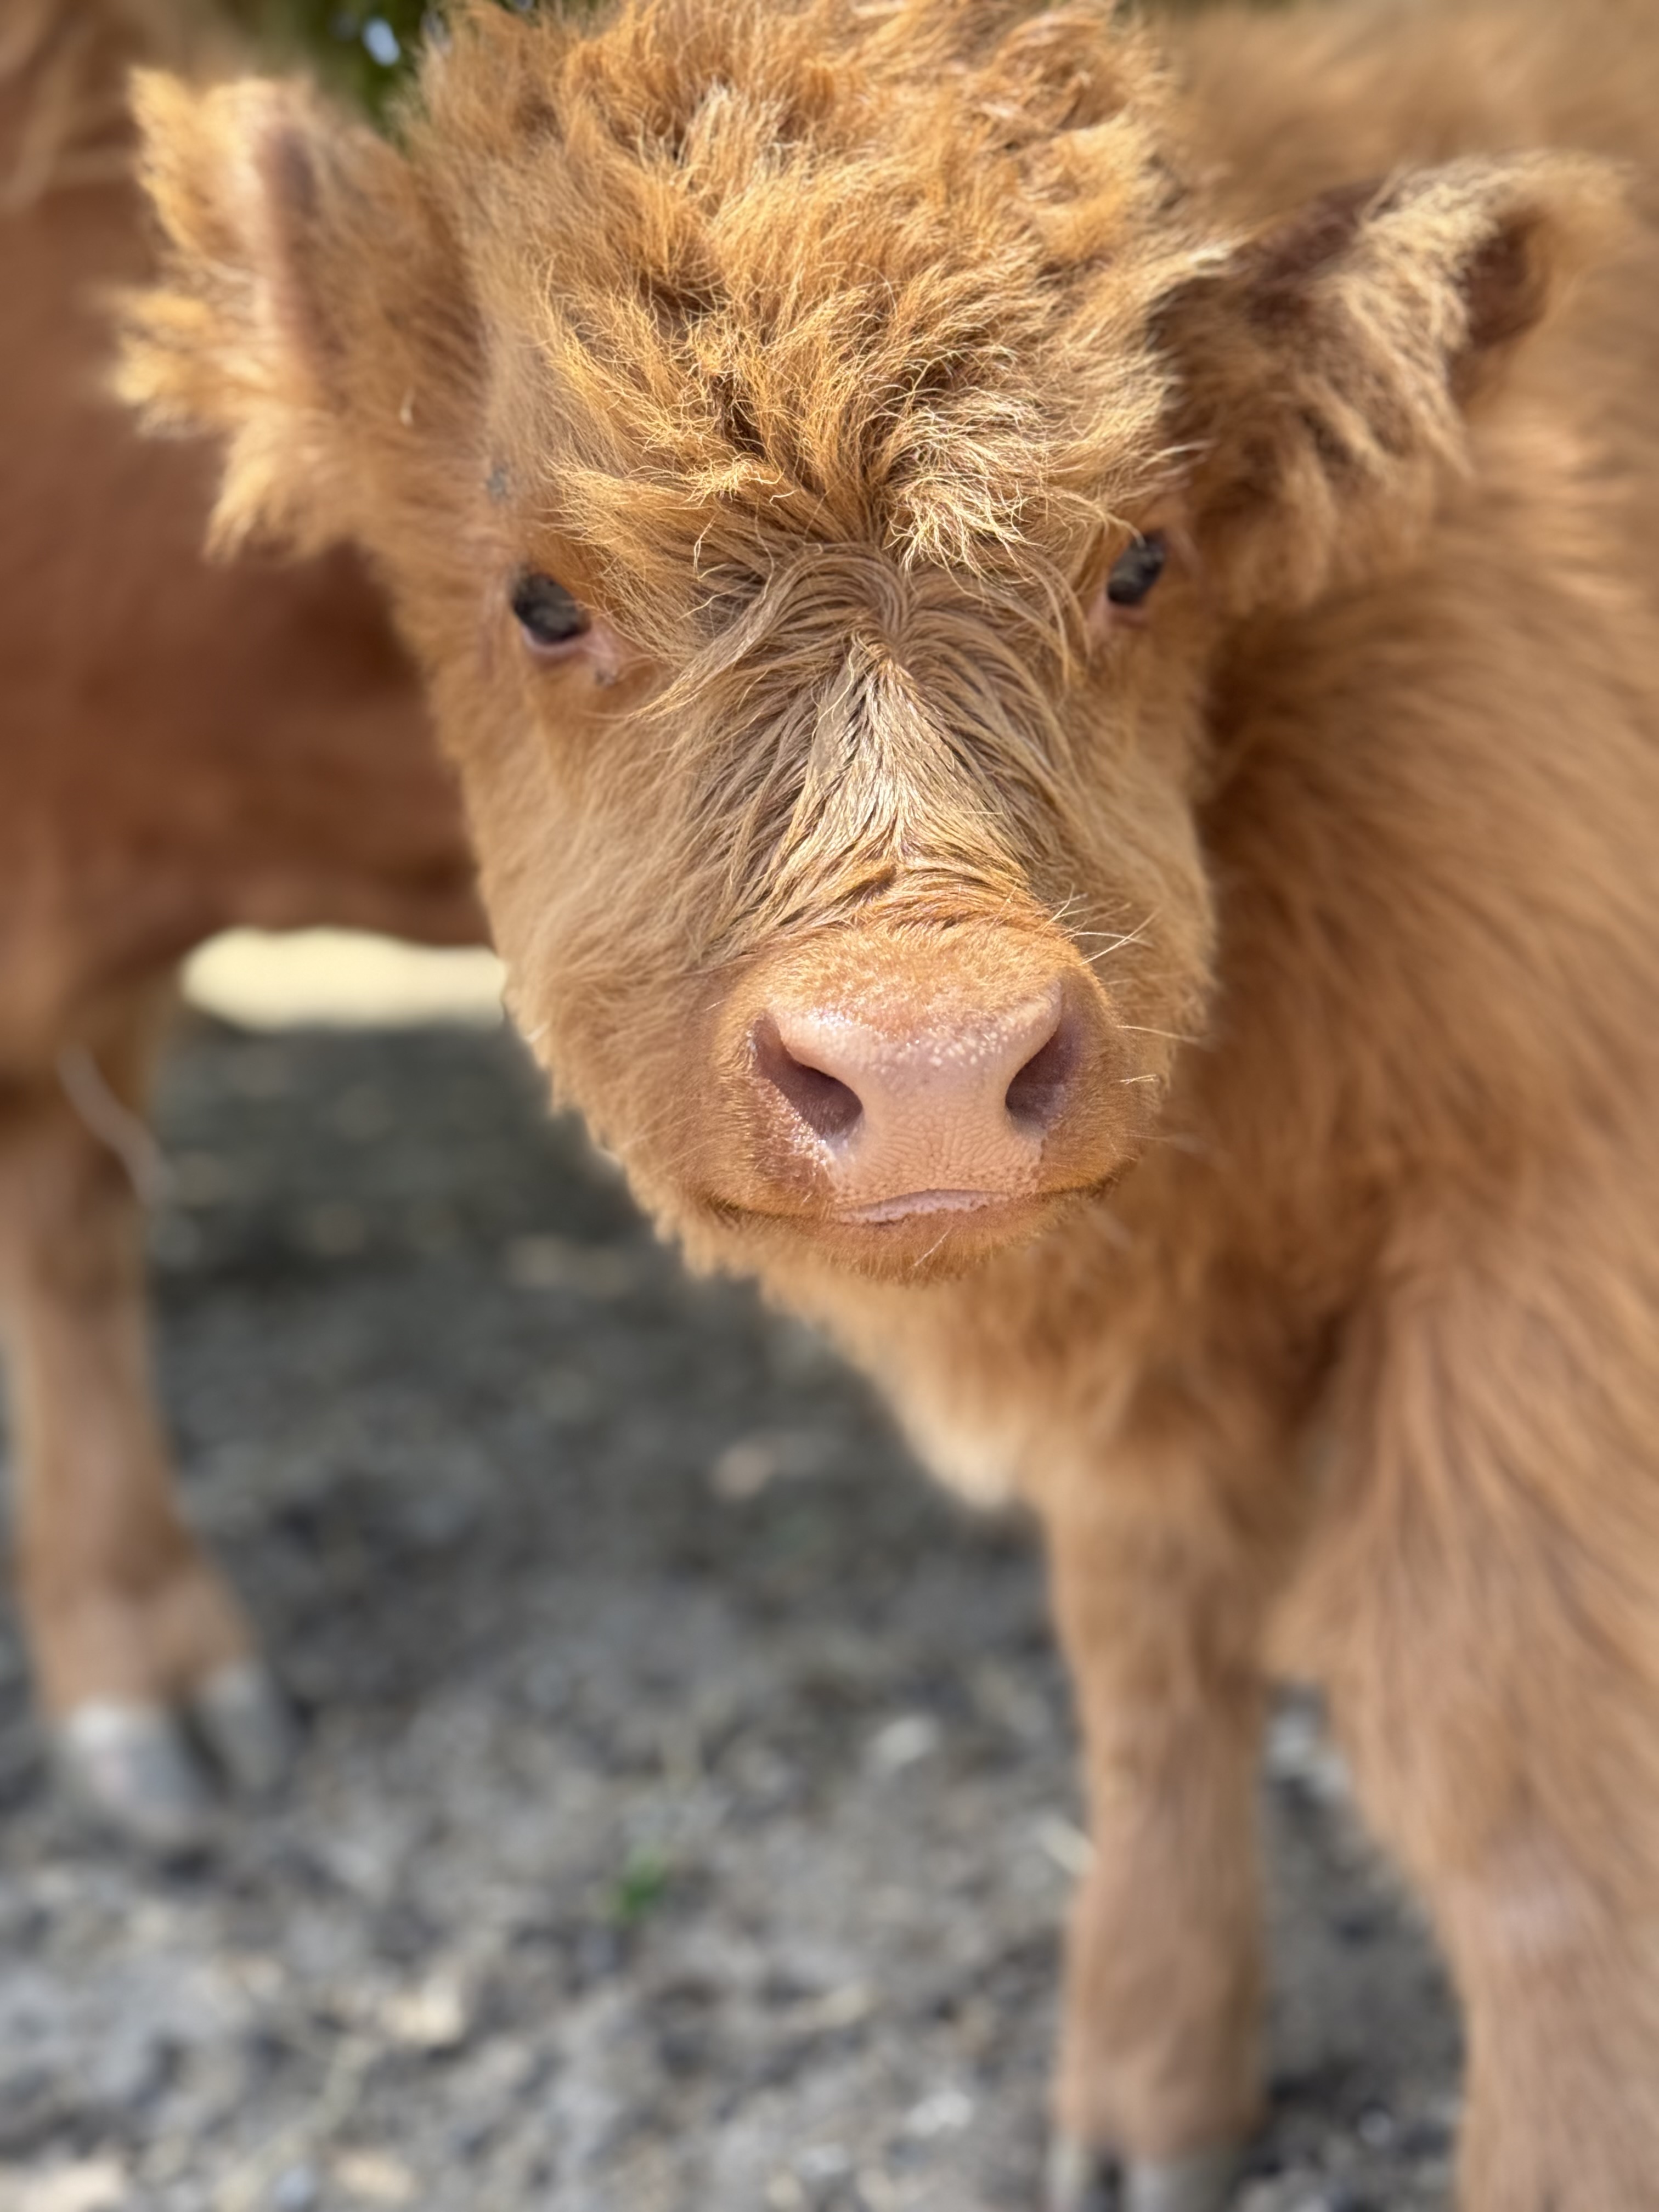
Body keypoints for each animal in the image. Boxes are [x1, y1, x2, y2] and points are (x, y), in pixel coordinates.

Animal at [122, 0, 1659, 2204]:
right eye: (542, 598)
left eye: (1139, 557)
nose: (928, 1062)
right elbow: (1151, 1656)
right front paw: (1145, 2095)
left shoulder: (1548, 1230)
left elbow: (1518, 1774)